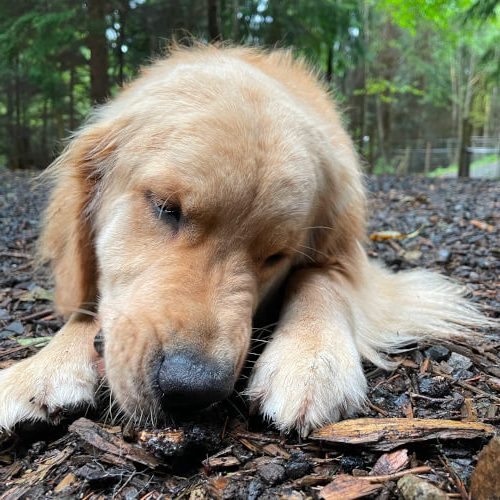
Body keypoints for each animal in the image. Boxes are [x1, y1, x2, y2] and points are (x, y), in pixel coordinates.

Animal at [0, 47, 488, 438]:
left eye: (276, 255)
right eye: (166, 208)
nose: (191, 387)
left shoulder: (351, 259)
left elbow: (322, 281)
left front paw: (311, 355)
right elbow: (89, 306)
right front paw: (38, 369)